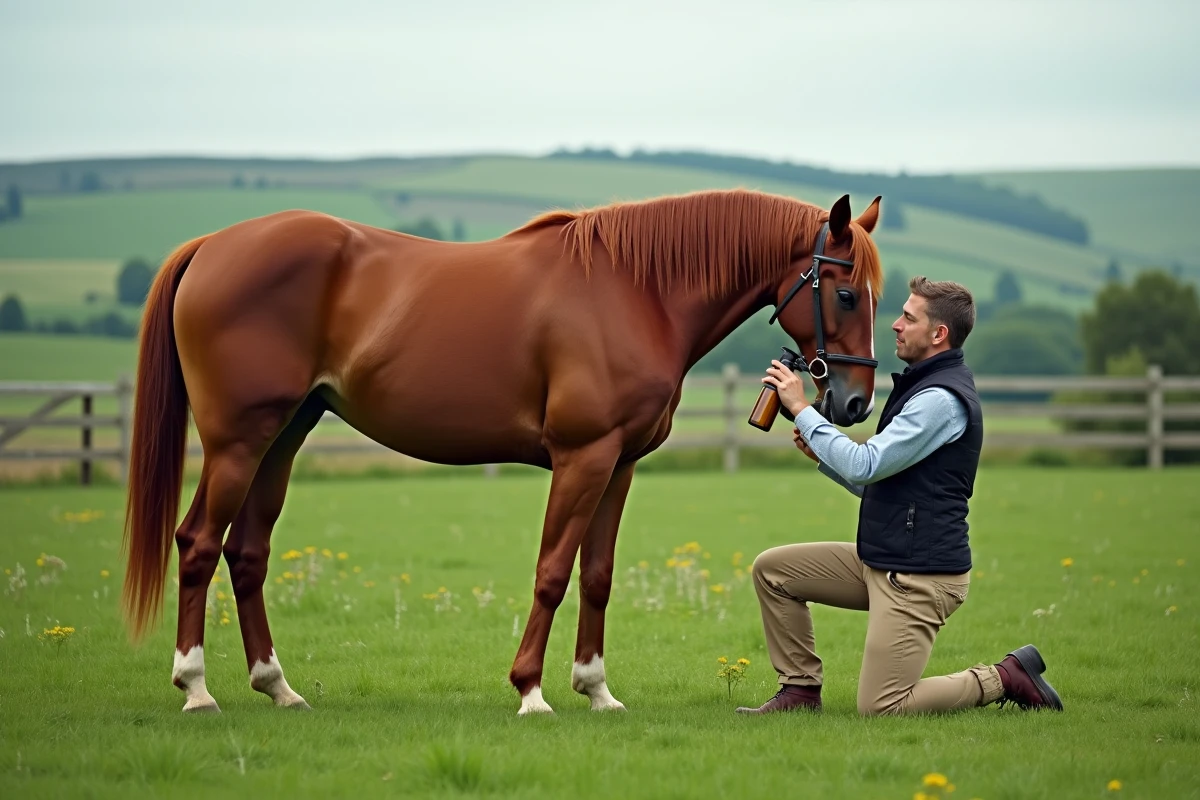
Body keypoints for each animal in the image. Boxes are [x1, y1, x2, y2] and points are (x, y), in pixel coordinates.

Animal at [121, 187, 884, 715]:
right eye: (846, 292)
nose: (854, 404)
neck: (637, 291)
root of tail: (213, 244)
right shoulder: (582, 457)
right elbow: (551, 571)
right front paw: (531, 692)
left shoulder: (619, 465)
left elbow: (596, 575)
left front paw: (596, 690)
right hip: (237, 442)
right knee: (197, 543)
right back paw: (196, 686)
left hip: (283, 438)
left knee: (246, 553)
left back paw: (276, 687)